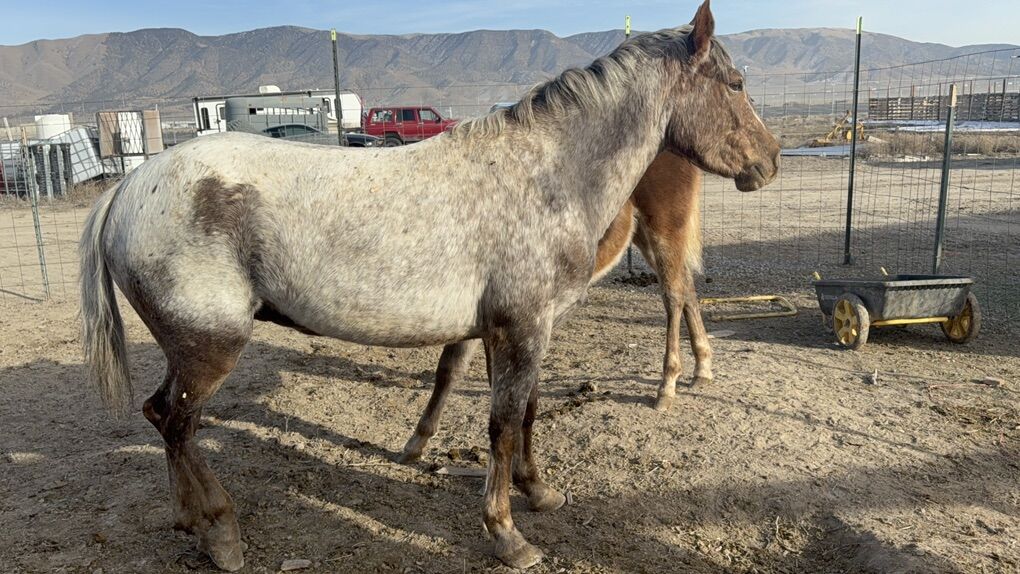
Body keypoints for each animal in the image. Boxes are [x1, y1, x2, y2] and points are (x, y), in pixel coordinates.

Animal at [400, 152, 712, 463]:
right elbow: (449, 367)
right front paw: (417, 441)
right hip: (643, 235)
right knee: (687, 288)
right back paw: (702, 369)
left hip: (664, 230)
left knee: (674, 296)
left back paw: (667, 384)